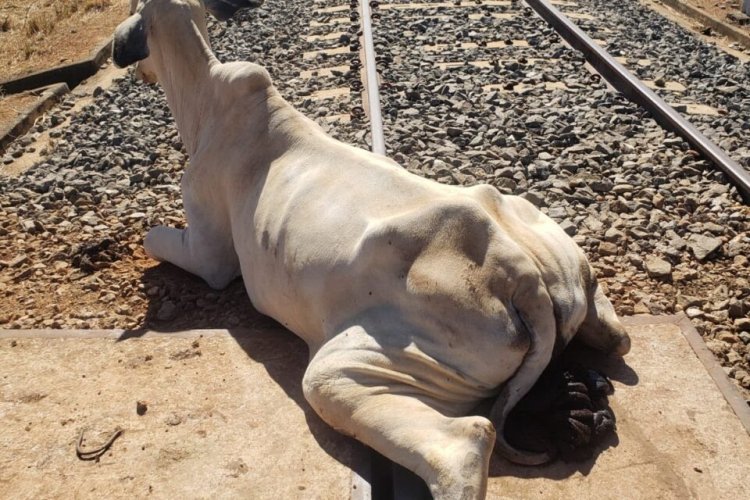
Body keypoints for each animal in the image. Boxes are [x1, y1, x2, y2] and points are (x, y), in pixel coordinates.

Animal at [114, 1, 632, 498]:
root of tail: (523, 280)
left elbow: (155, 239)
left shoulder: (209, 253)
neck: (204, 99)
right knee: (616, 337)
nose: (138, 74)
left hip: (345, 371)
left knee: (465, 441)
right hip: (563, 261)